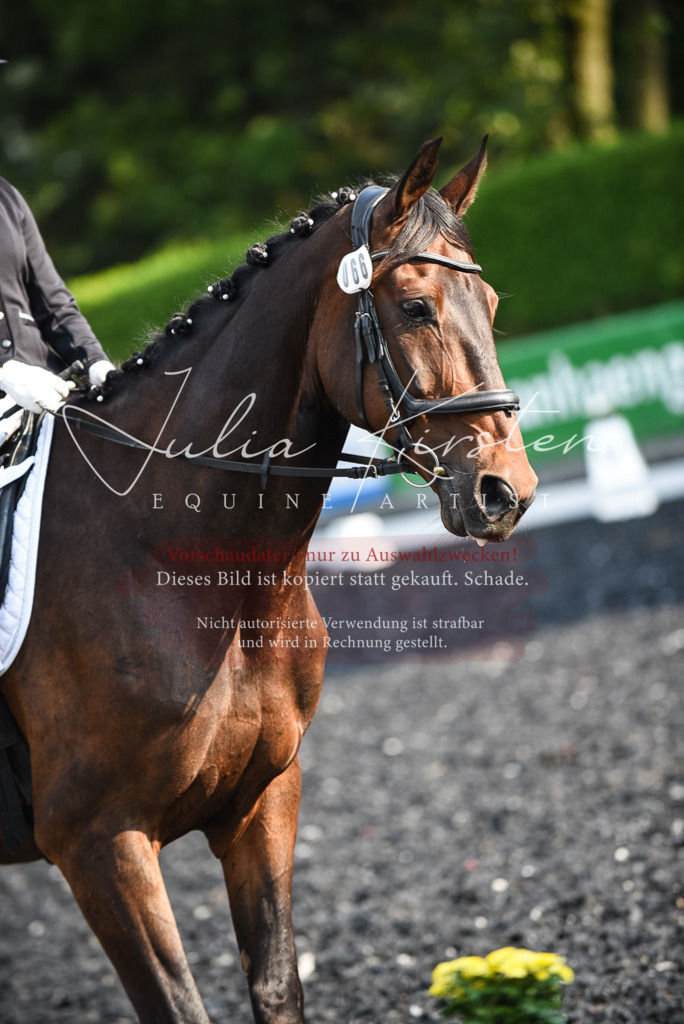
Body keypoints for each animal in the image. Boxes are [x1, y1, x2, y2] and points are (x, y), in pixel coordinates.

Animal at [0, 137, 537, 1023]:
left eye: (490, 302)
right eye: (415, 308)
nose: (508, 492)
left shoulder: (263, 800)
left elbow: (278, 984)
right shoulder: (99, 844)